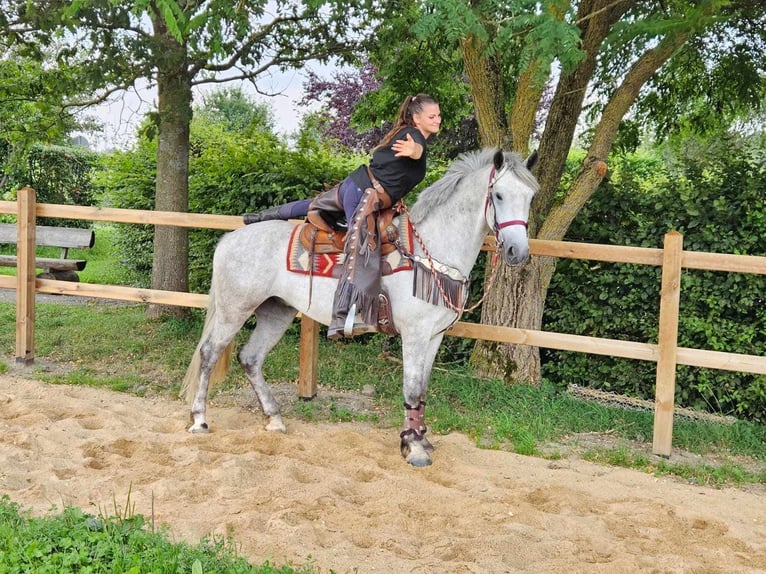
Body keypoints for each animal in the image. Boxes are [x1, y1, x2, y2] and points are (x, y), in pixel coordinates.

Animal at [180, 148, 540, 468]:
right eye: (498, 196)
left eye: (530, 197)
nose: (517, 252)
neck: (431, 252)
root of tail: (229, 239)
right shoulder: (414, 335)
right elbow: (411, 389)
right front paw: (414, 449)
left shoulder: (434, 336)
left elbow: (423, 389)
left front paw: (421, 440)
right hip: (235, 309)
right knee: (209, 353)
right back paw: (199, 420)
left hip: (276, 312)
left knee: (250, 358)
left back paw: (274, 418)